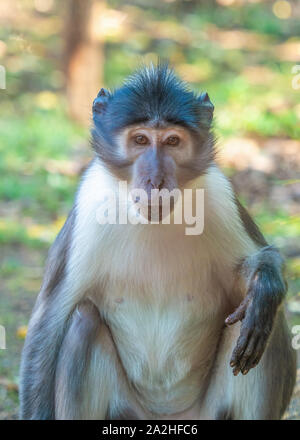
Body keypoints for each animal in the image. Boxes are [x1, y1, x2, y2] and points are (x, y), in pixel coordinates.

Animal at [19, 62, 296, 420]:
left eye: (172, 141)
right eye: (140, 139)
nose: (156, 180)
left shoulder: (220, 196)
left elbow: (256, 281)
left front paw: (267, 281)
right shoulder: (89, 208)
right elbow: (48, 325)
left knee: (260, 319)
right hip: (127, 412)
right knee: (83, 323)